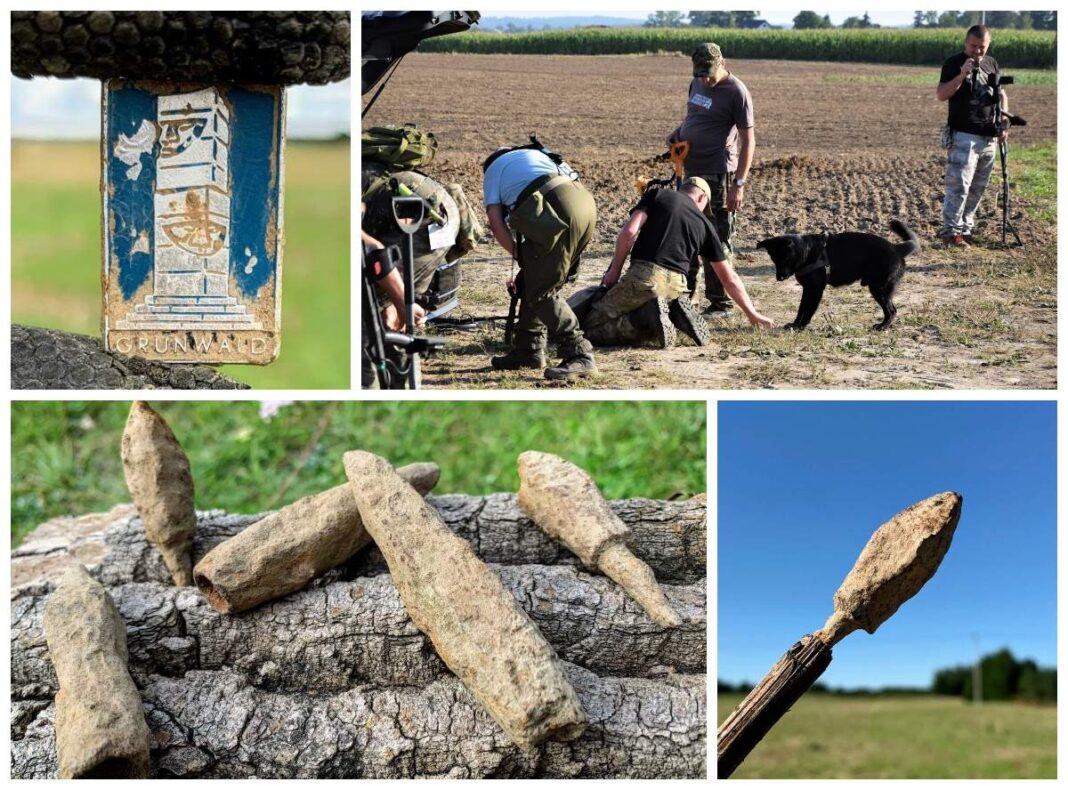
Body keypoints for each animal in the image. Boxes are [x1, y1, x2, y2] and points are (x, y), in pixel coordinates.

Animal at [756, 220, 922, 330]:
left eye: (786, 259)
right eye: (774, 259)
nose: (779, 278)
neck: (807, 252)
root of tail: (897, 248)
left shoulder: (815, 290)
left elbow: (808, 310)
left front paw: (801, 326)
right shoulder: (807, 289)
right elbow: (801, 308)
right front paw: (795, 324)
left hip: (878, 288)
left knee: (892, 310)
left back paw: (882, 326)